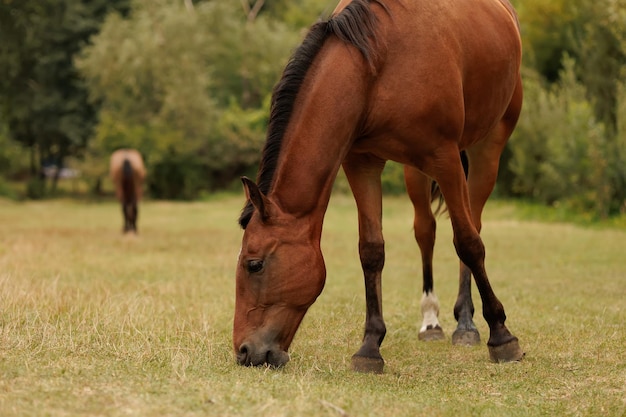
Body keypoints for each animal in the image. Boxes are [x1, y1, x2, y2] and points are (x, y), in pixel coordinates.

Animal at [234, 0, 520, 370]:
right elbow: (371, 250)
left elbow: (469, 243)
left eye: (254, 264)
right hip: (415, 171)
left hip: (486, 148)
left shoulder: (445, 158)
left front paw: (502, 335)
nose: (244, 351)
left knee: (473, 227)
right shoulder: (361, 162)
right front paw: (369, 346)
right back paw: (432, 321)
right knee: (425, 230)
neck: (375, 66)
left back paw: (467, 324)